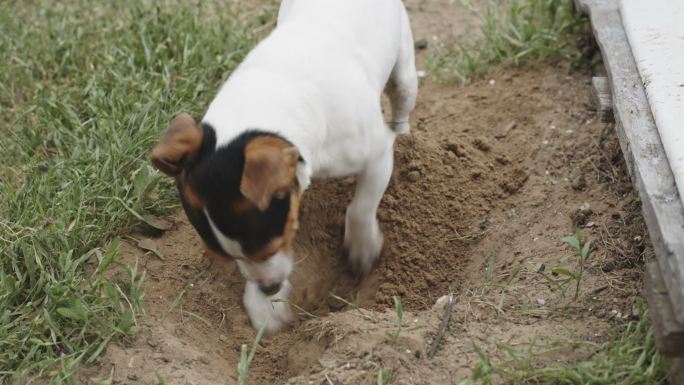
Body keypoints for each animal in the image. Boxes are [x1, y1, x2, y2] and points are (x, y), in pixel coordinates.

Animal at [150, 0, 416, 332]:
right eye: (223, 256)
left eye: (271, 246)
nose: (269, 289)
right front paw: (266, 306)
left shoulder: (377, 154)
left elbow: (361, 208)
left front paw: (361, 247)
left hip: (404, 71)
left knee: (402, 101)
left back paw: (407, 137)